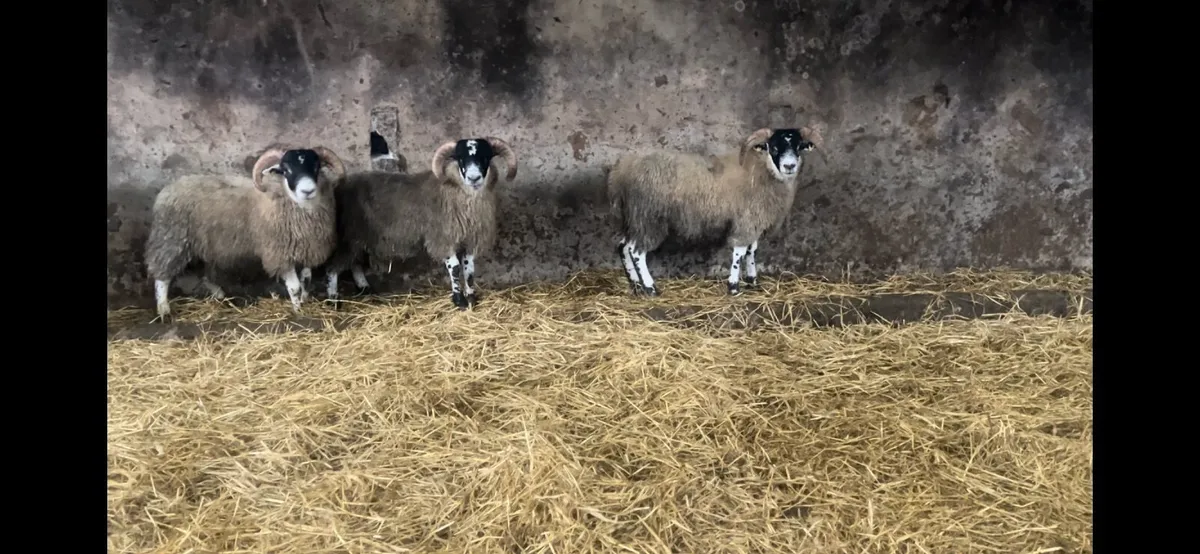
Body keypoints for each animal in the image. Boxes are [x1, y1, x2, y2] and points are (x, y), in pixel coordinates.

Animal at [144, 145, 346, 322]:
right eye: (286, 169)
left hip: (205, 244)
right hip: (172, 239)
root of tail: (171, 186)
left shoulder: (308, 249)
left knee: (205, 273)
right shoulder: (279, 255)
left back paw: (220, 296)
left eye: (316, 166)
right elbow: (295, 287)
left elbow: (306, 280)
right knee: (162, 276)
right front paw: (299, 311)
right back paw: (164, 310)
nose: (308, 190)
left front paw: (305, 301)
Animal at [322, 137, 518, 310]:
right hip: (350, 235)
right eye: (461, 158)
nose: (474, 178)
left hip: (359, 237)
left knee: (354, 263)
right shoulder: (442, 238)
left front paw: (471, 298)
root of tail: (340, 185)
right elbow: (455, 268)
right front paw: (459, 301)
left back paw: (365, 288)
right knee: (333, 268)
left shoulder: (471, 238)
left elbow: (469, 269)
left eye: (485, 157)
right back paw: (333, 299)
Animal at [607, 127, 818, 296]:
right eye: (773, 147)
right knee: (636, 251)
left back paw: (636, 286)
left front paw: (753, 282)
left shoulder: (753, 219)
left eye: (799, 147)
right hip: (648, 217)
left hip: (635, 218)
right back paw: (650, 288)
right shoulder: (747, 220)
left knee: (623, 246)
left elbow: (752, 250)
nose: (789, 166)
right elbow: (740, 252)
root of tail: (621, 172)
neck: (761, 172)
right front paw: (734, 287)